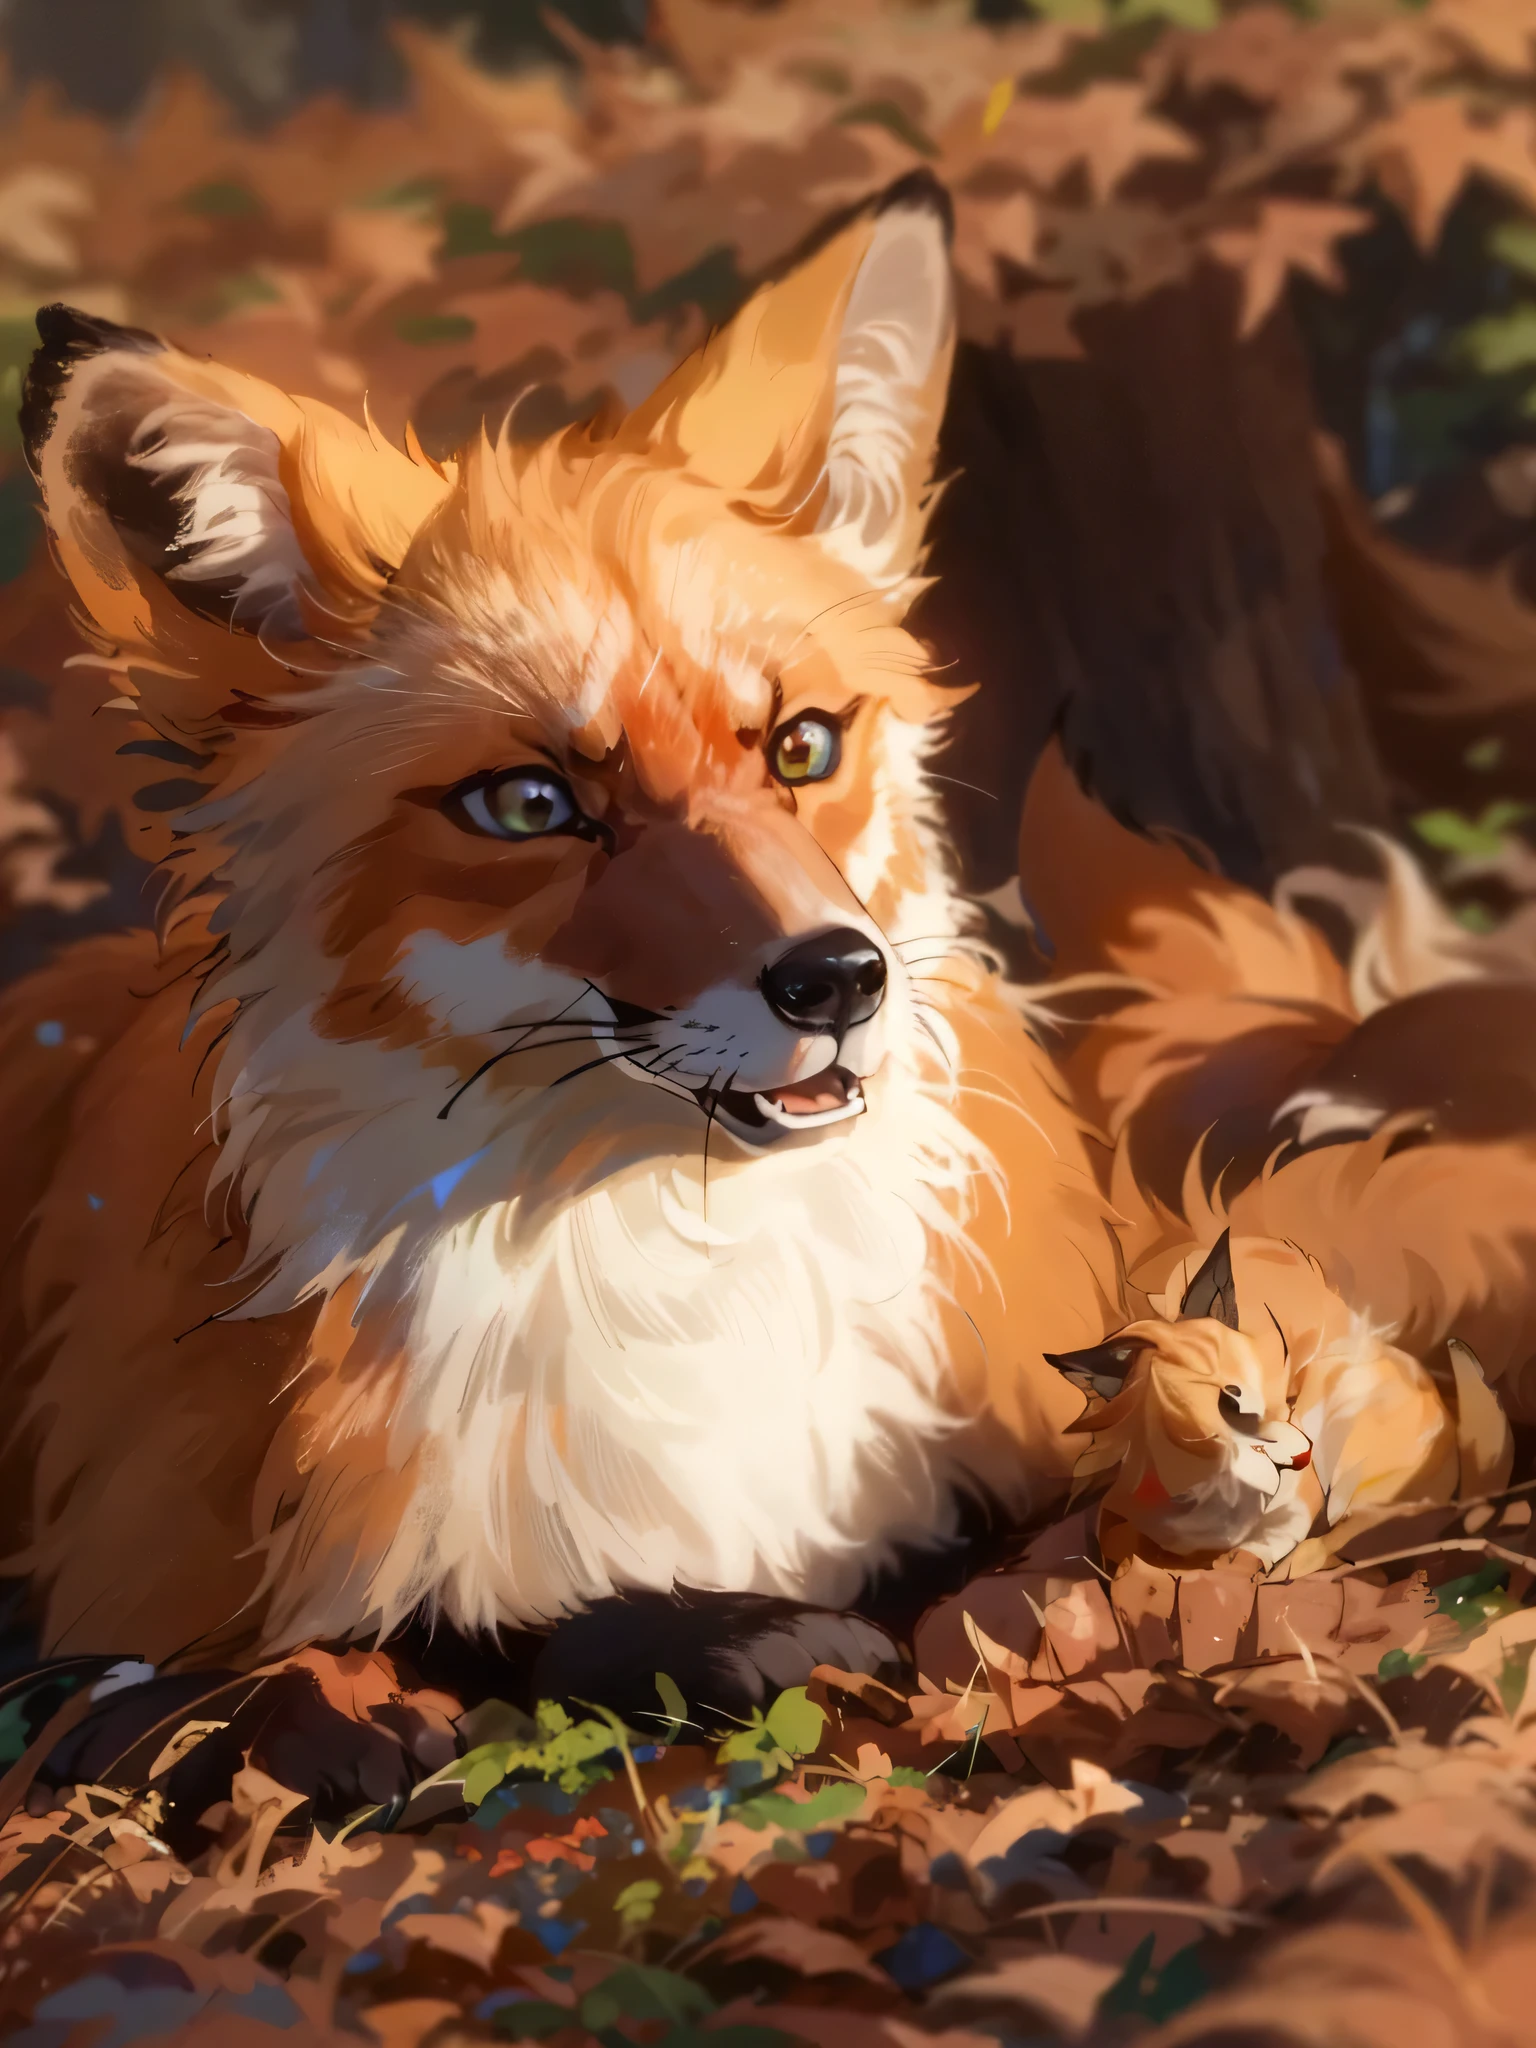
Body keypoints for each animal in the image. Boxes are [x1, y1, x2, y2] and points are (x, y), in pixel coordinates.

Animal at [1, 176, 1130, 1795]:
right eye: (530, 805)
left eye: (799, 746)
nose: (838, 979)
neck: (674, 1279)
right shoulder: (132, 1602)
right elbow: (427, 1648)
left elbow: (1043, 1559)